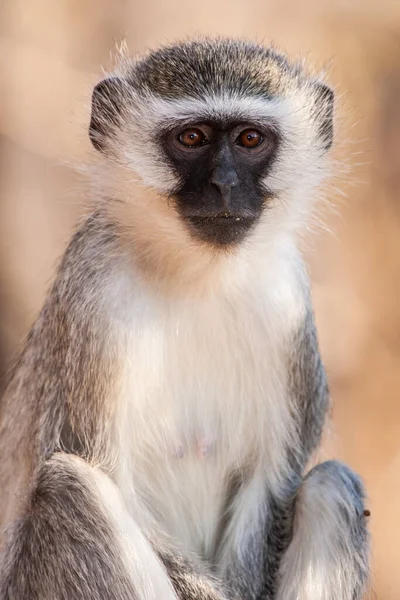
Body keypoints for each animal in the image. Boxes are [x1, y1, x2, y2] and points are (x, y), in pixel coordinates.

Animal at [0, 38, 368, 600]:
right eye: (191, 138)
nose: (224, 184)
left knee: (331, 484)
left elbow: (268, 487)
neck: (198, 274)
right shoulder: (94, 298)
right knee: (71, 488)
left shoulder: (287, 304)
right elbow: (110, 477)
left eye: (250, 139)